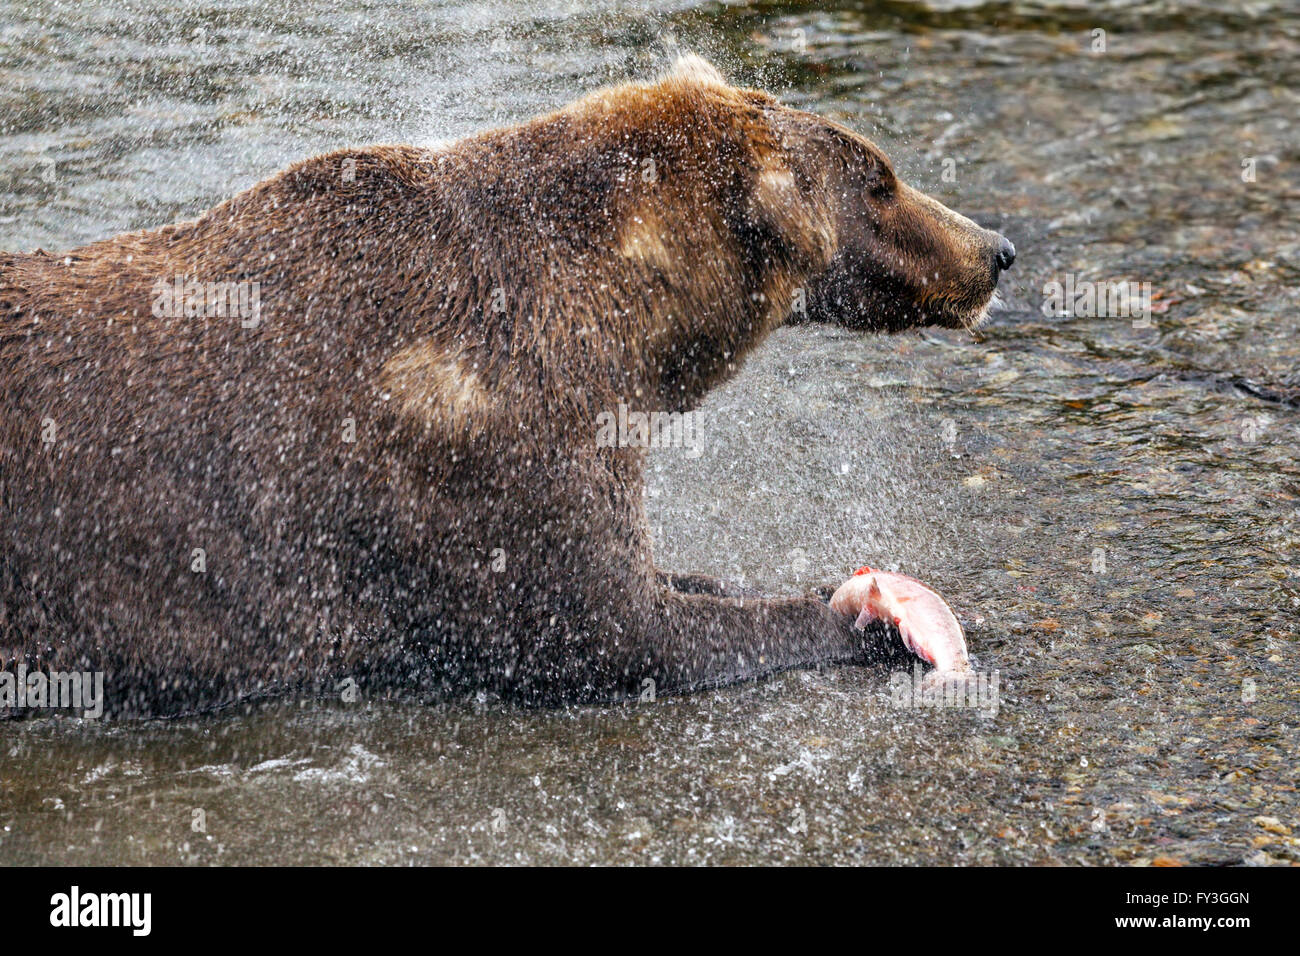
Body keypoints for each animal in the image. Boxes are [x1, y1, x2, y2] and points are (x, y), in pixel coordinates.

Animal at [0, 55, 1013, 712]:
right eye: (881, 181)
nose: (996, 249)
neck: (629, 320)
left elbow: (659, 576)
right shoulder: (489, 443)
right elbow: (614, 630)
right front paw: (865, 621)